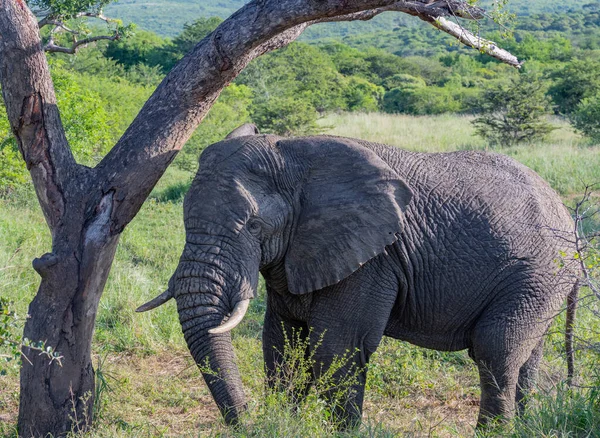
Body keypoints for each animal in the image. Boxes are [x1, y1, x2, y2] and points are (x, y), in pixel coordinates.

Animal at [138, 126, 580, 428]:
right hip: (542, 282)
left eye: (253, 226)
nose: (249, 421)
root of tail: (566, 214)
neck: (294, 154)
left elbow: (336, 347)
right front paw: (286, 425)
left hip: (537, 273)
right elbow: (281, 343)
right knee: (526, 357)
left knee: (495, 351)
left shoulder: (372, 259)